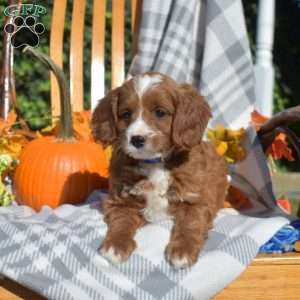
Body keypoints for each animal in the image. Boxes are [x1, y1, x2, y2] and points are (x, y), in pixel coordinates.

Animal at [91, 71, 227, 268]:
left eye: (160, 113)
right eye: (125, 114)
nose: (137, 139)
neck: (154, 162)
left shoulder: (197, 200)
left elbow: (191, 223)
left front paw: (183, 251)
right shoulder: (121, 200)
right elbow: (121, 222)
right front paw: (115, 246)